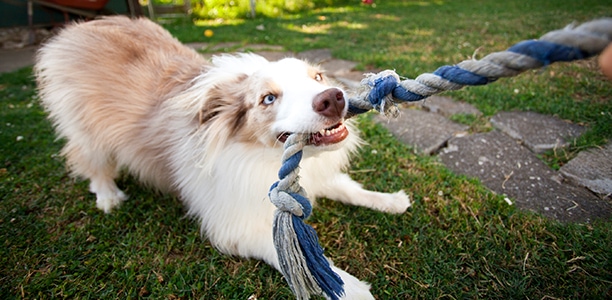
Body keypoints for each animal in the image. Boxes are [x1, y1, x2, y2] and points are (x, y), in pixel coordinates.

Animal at [34, 17, 412, 300]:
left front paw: (391, 200)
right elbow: (291, 255)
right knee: (89, 160)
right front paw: (349, 287)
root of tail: (80, 26)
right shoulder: (233, 225)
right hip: (87, 129)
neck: (261, 155)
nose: (333, 98)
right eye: (268, 98)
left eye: (317, 77)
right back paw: (108, 195)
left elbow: (350, 188)